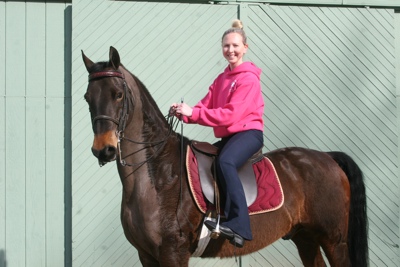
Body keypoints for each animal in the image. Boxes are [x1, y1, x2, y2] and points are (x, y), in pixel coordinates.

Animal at [81, 47, 368, 266]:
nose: (103, 149)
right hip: (305, 238)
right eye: (87, 97)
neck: (158, 173)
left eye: (118, 94)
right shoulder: (146, 255)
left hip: (334, 241)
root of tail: (327, 158)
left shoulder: (173, 252)